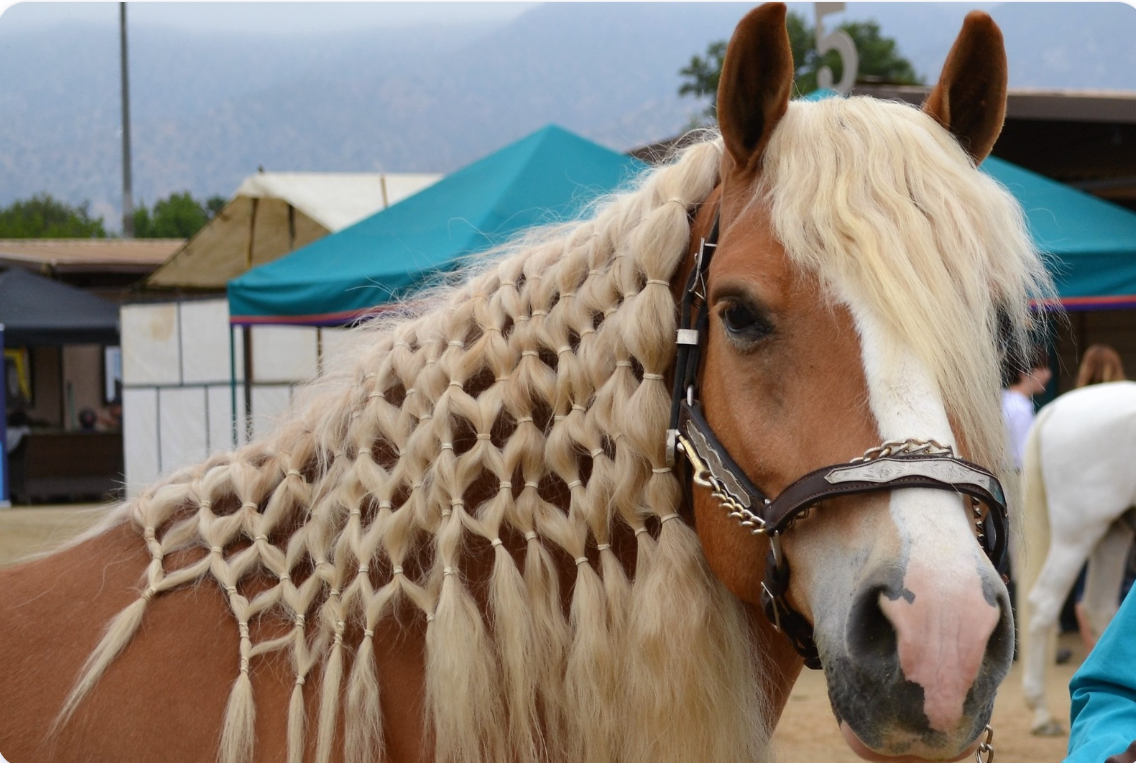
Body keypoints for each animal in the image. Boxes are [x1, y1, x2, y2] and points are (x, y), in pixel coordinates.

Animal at [1016, 381, 1136, 736]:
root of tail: (1057, 408)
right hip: (1078, 534)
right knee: (1043, 604)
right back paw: (1041, 712)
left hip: (1113, 533)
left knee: (1099, 607)